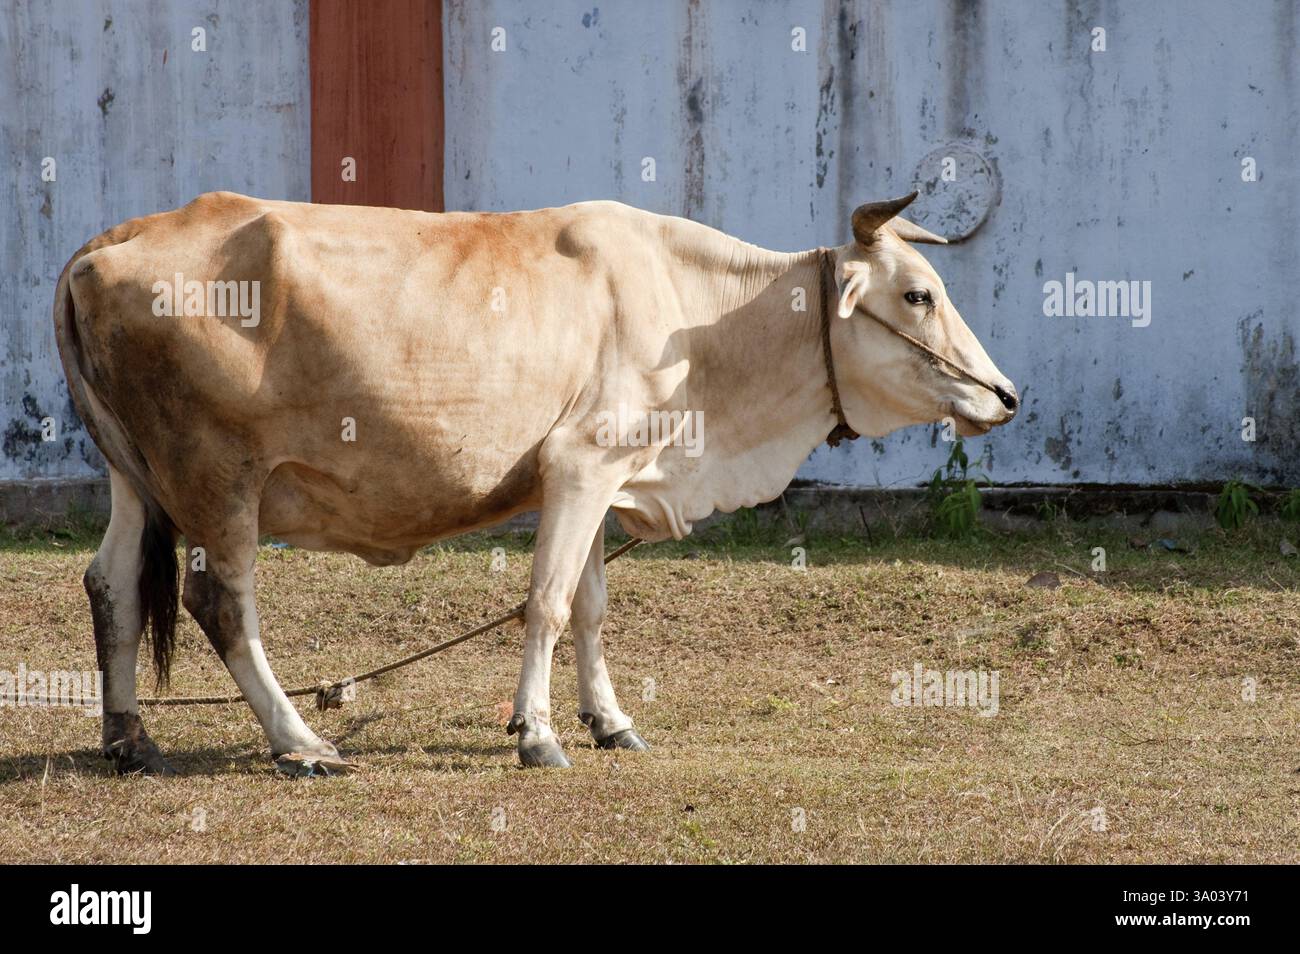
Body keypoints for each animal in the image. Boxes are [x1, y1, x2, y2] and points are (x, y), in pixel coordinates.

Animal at [52, 190, 1017, 774]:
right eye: (920, 294)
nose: (1004, 395)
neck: (698, 318)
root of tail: (105, 244)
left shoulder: (598, 480)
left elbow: (588, 608)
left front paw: (611, 721)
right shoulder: (583, 464)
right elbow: (547, 605)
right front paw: (538, 733)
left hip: (136, 478)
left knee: (112, 586)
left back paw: (129, 737)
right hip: (220, 482)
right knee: (220, 605)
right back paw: (302, 741)